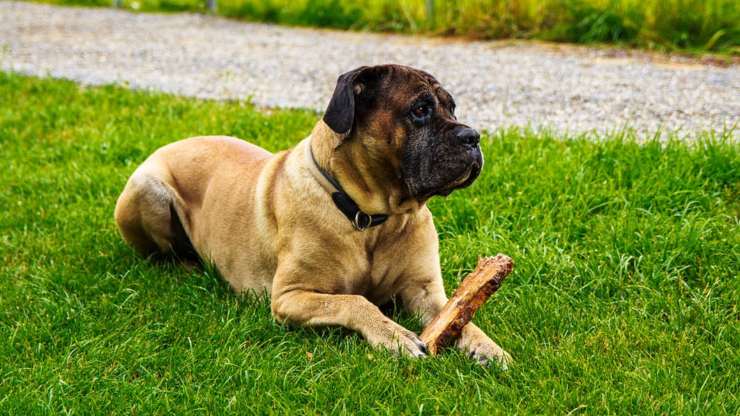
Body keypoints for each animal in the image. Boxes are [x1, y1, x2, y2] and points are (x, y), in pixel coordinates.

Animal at [115, 63, 512, 366]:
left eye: (452, 107)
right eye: (420, 110)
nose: (473, 136)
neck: (370, 218)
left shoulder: (424, 291)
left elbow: (460, 314)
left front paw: (488, 347)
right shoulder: (290, 296)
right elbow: (357, 301)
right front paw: (395, 335)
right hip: (147, 190)